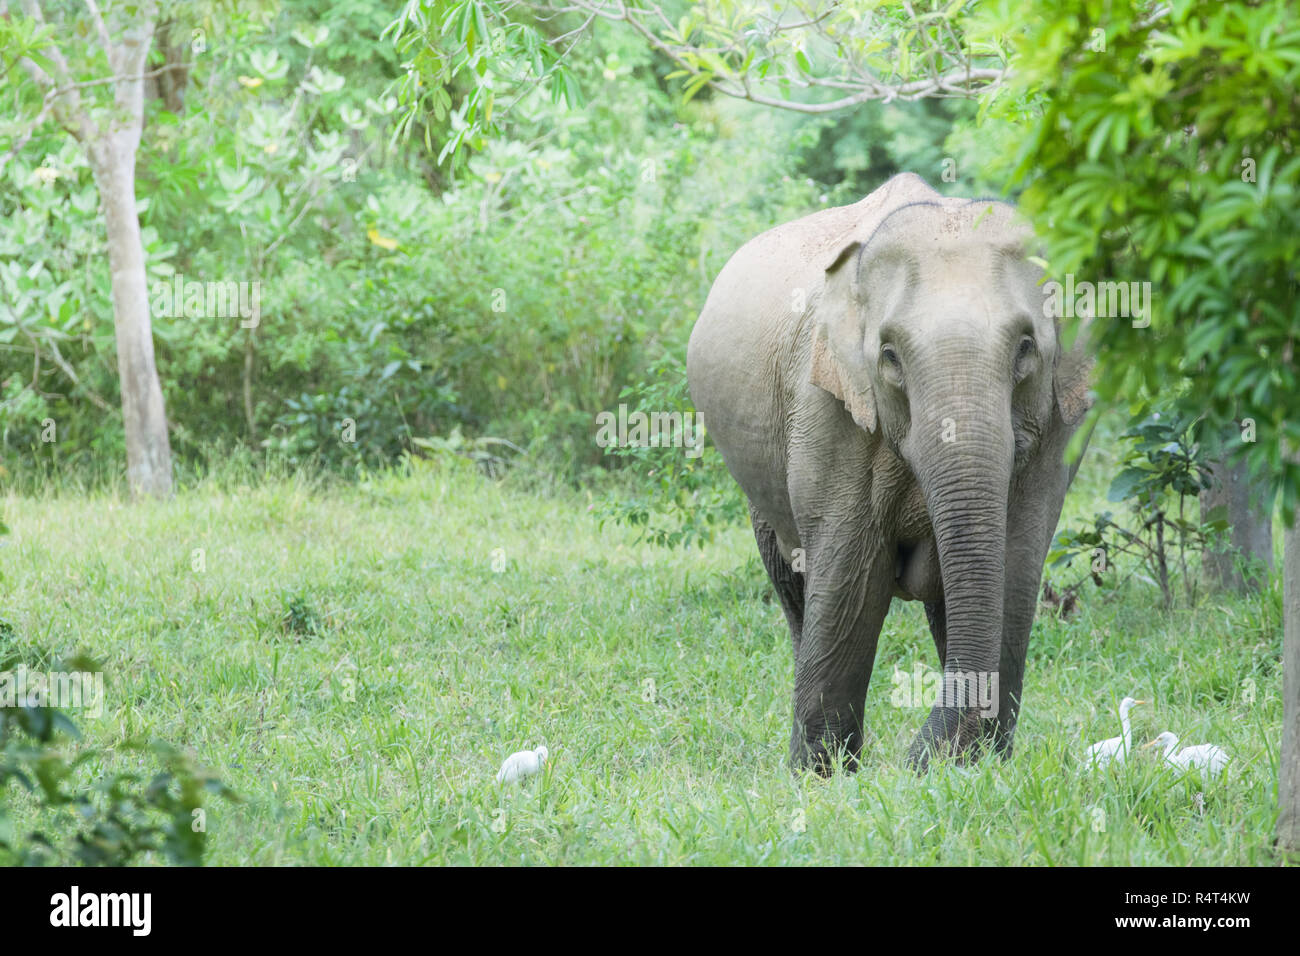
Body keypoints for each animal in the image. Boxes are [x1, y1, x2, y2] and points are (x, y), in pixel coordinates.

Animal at [686, 171, 1092, 775]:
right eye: (890, 356)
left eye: (1025, 348)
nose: (916, 762)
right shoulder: (826, 405)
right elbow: (851, 574)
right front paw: (823, 775)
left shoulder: (1056, 429)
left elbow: (1013, 567)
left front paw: (979, 766)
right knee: (792, 581)